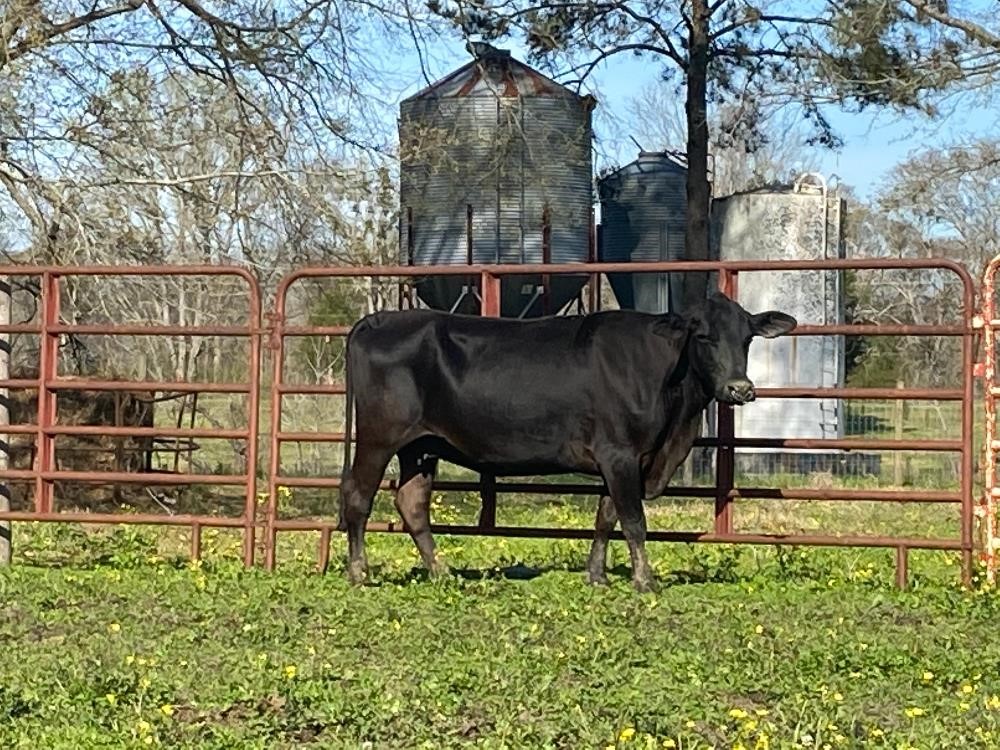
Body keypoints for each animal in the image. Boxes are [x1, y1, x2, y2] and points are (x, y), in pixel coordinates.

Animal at [340, 294, 792, 592]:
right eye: (703, 336)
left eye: (747, 338)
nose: (740, 388)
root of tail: (376, 321)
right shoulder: (621, 453)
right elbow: (633, 520)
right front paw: (645, 581)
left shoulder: (623, 458)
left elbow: (606, 516)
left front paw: (597, 576)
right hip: (378, 438)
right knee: (359, 498)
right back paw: (360, 572)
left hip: (421, 446)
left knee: (412, 503)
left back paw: (441, 571)